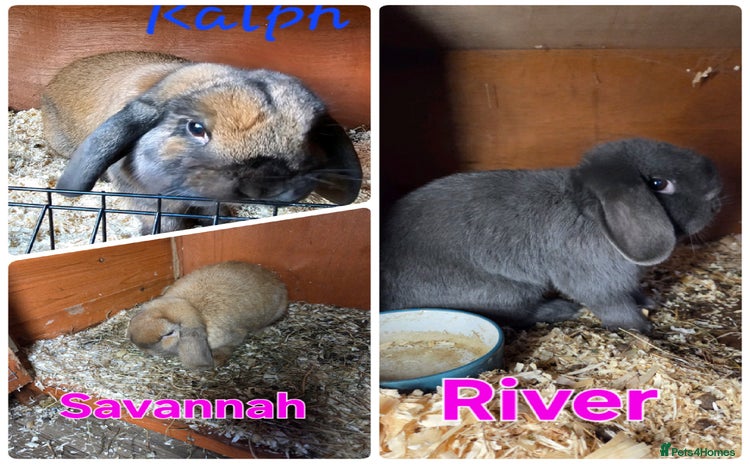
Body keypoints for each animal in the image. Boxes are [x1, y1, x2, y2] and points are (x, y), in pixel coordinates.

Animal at [380, 138, 723, 333]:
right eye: (658, 184)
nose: (717, 198)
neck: (590, 214)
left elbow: (633, 293)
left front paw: (651, 301)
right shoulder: (595, 282)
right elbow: (614, 305)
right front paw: (643, 328)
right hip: (507, 291)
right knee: (520, 315)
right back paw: (562, 310)